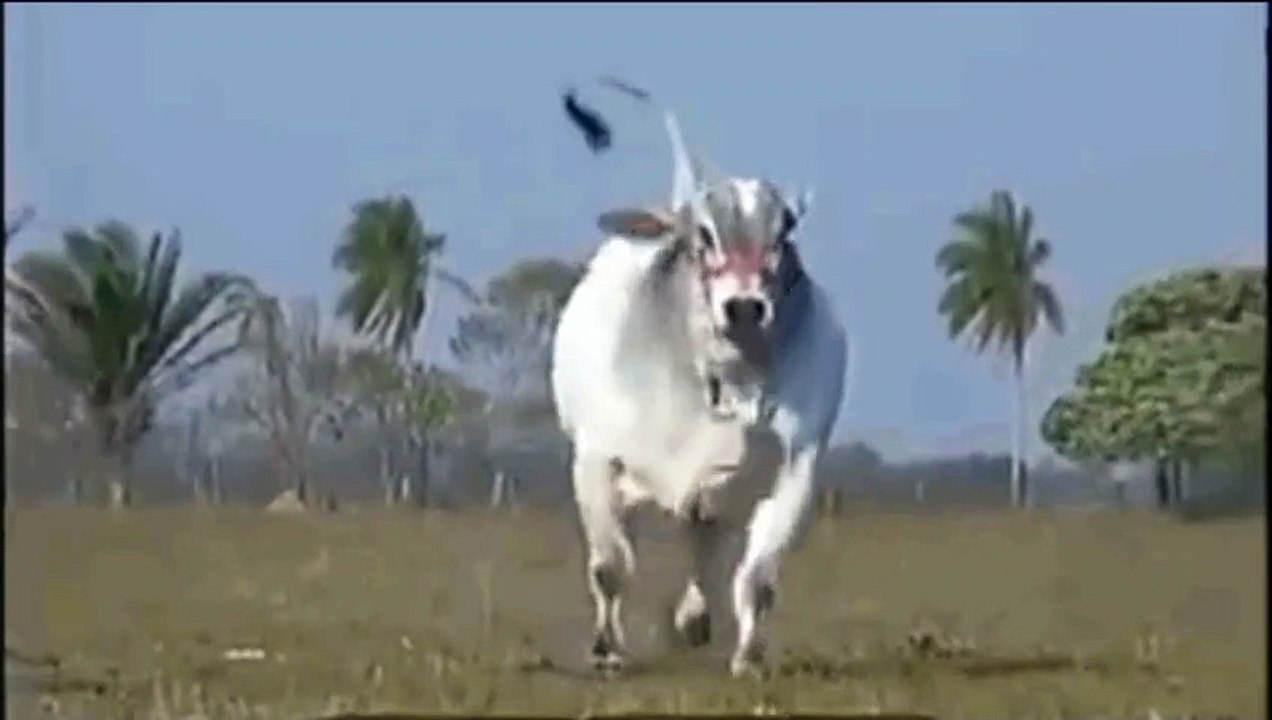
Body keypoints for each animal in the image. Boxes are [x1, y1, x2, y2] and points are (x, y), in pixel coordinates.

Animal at [549, 110, 848, 678]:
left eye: (784, 232)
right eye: (704, 236)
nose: (745, 307)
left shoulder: (796, 469)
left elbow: (757, 580)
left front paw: (748, 657)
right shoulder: (596, 460)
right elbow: (609, 567)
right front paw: (606, 651)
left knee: (704, 545)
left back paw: (693, 618)